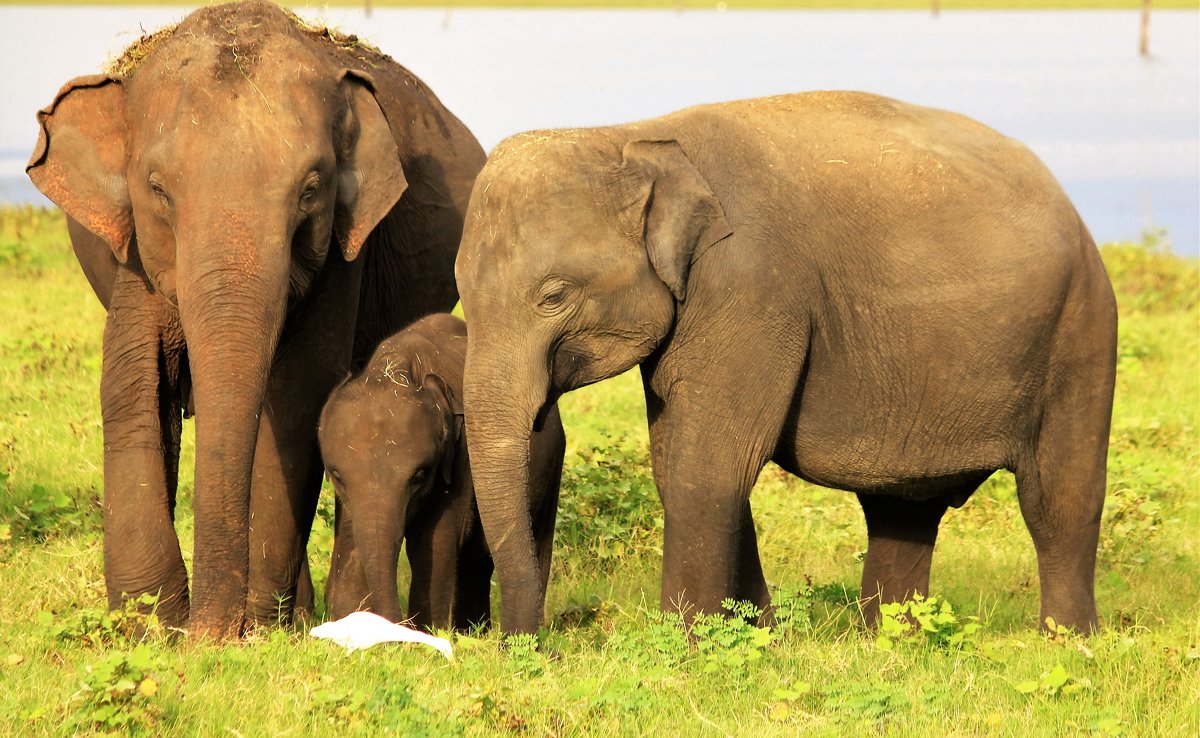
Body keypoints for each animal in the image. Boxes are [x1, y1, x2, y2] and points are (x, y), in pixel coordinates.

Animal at [24, 0, 482, 638]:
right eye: (157, 189)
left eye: (311, 190)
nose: (208, 639)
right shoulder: (135, 249)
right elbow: (133, 379)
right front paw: (149, 628)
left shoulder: (342, 248)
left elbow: (298, 391)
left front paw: (256, 630)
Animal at [316, 314, 564, 633]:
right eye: (336, 476)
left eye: (420, 475)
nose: (395, 627)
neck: (397, 369)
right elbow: (352, 544)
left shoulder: (462, 456)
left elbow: (432, 542)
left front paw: (427, 634)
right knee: (475, 560)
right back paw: (472, 630)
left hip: (553, 463)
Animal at [453, 91, 1118, 633]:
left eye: (553, 296)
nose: (532, 646)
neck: (631, 132)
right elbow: (681, 462)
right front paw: (759, 638)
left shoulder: (752, 286)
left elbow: (708, 466)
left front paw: (684, 648)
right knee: (902, 512)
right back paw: (894, 641)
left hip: (1082, 332)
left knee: (1058, 500)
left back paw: (1067, 641)